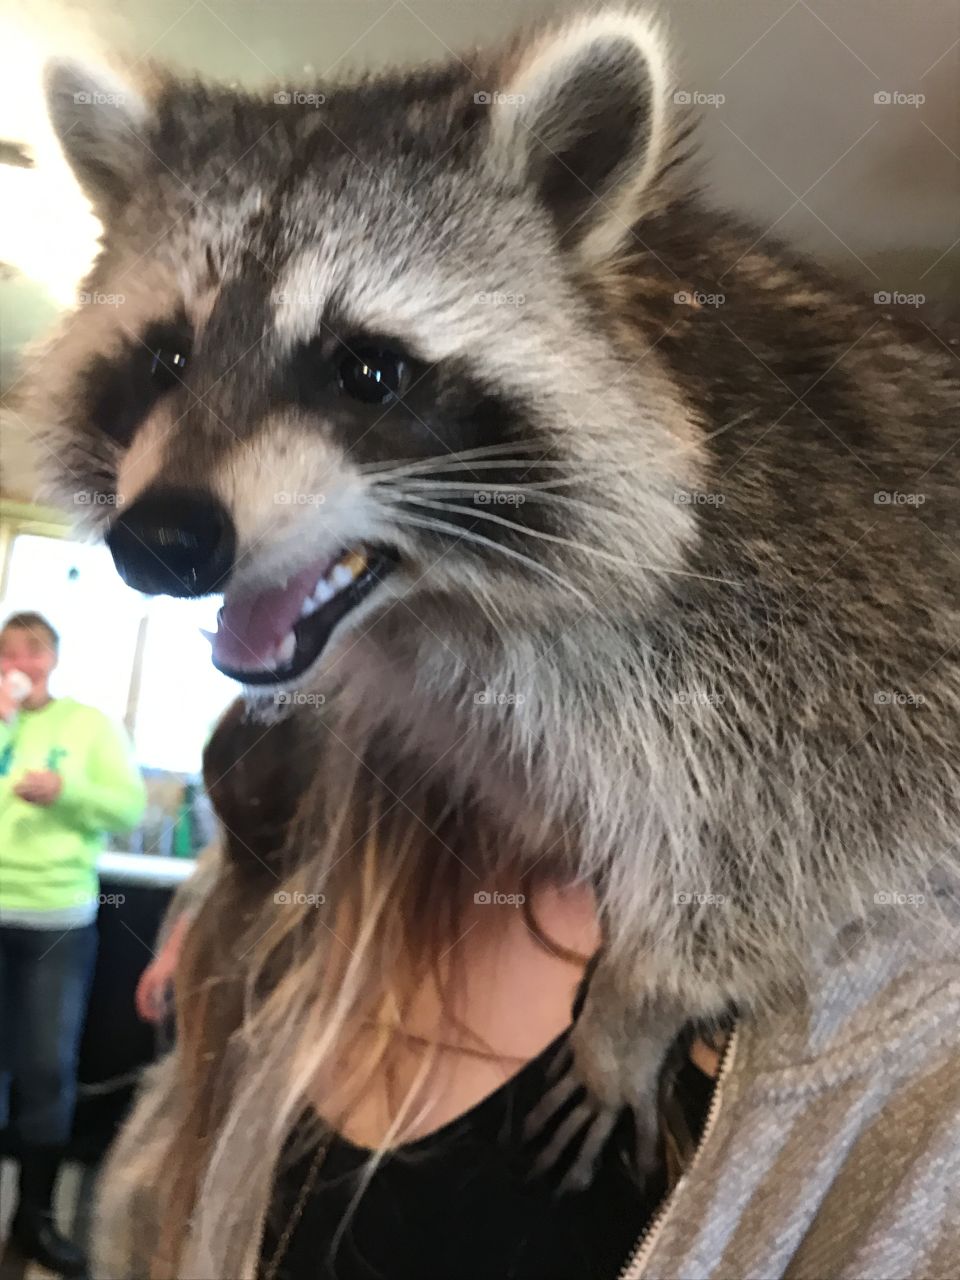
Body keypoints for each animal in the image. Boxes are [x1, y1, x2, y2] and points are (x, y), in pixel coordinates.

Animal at [17, 8, 960, 1189]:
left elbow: (813, 827)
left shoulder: (819, 607)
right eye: (167, 358)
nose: (164, 542)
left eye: (367, 371)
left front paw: (639, 1000)